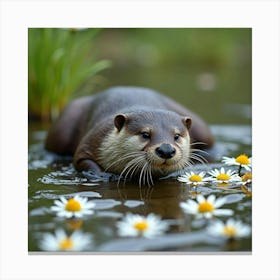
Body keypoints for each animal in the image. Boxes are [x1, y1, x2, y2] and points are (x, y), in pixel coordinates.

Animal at [44, 86, 213, 185]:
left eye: (176, 136)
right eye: (145, 134)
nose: (166, 150)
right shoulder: (93, 139)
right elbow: (82, 161)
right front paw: (104, 175)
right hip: (63, 126)